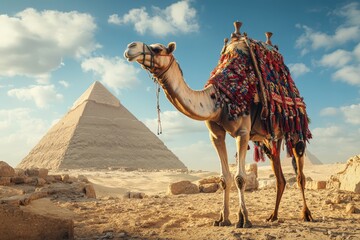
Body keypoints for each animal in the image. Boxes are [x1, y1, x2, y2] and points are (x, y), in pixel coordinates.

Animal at [124, 21, 312, 228]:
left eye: (158, 49)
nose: (130, 47)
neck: (219, 98)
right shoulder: (216, 135)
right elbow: (224, 178)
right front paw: (223, 218)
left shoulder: (242, 132)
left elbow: (240, 178)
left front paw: (244, 219)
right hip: (270, 138)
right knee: (280, 177)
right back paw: (273, 215)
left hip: (295, 129)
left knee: (300, 175)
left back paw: (306, 214)